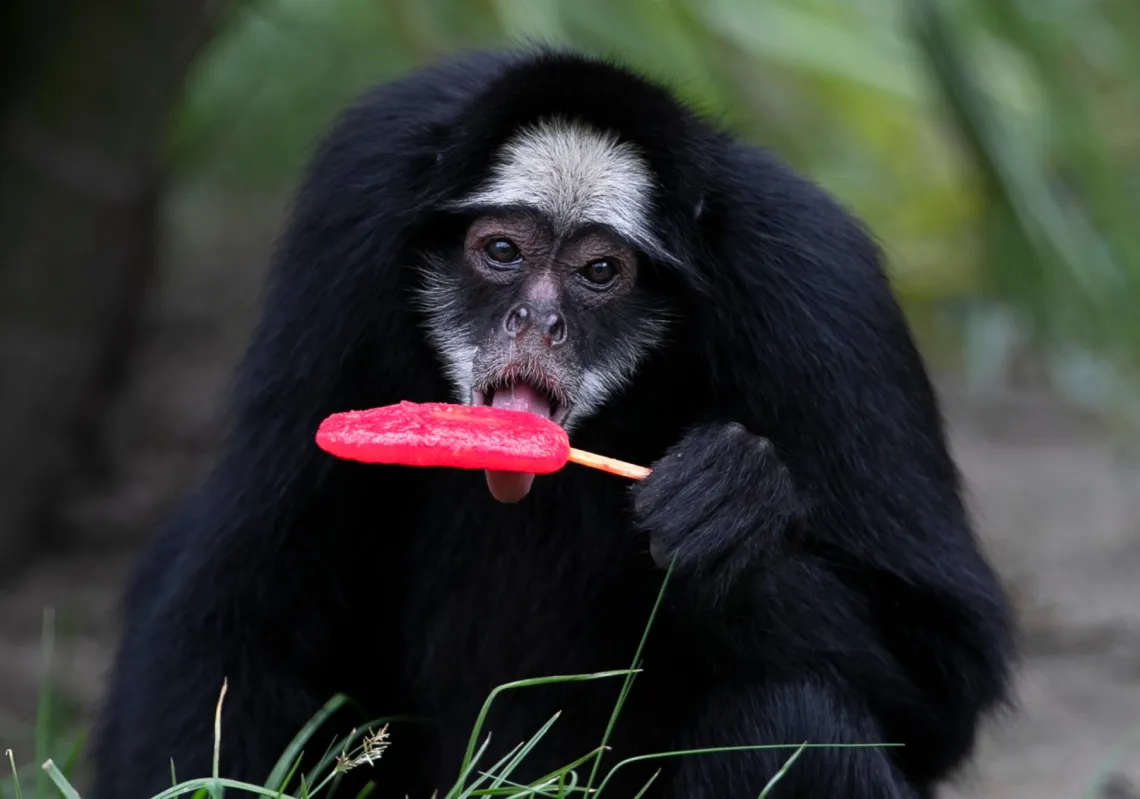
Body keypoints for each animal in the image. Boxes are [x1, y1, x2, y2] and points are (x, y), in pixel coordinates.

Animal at [88, 47, 1015, 799]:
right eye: (502, 253)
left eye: (600, 272)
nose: (538, 321)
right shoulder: (357, 197)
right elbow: (244, 586)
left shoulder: (815, 281)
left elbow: (948, 681)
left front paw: (733, 509)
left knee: (795, 721)